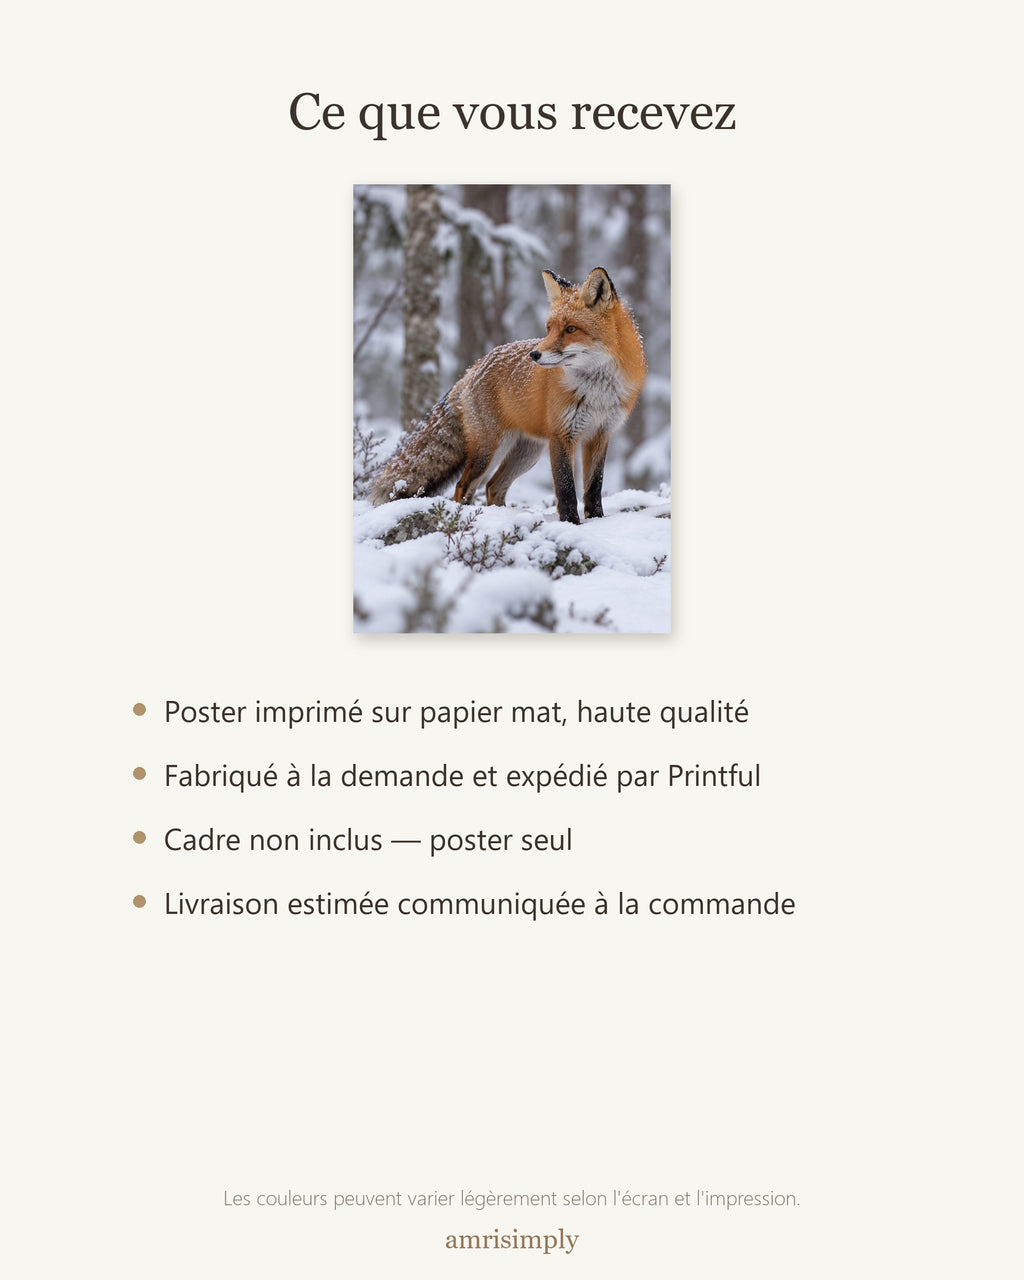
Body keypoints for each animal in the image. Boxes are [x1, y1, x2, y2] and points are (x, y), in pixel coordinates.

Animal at [369, 267, 646, 523]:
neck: (598, 390)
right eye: (548, 328)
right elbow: (566, 489)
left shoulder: (600, 435)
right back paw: (464, 516)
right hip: (489, 450)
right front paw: (570, 524)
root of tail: (473, 368)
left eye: (570, 329)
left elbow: (594, 488)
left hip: (526, 454)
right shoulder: (562, 434)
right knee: (464, 486)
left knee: (493, 487)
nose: (534, 355)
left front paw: (597, 521)